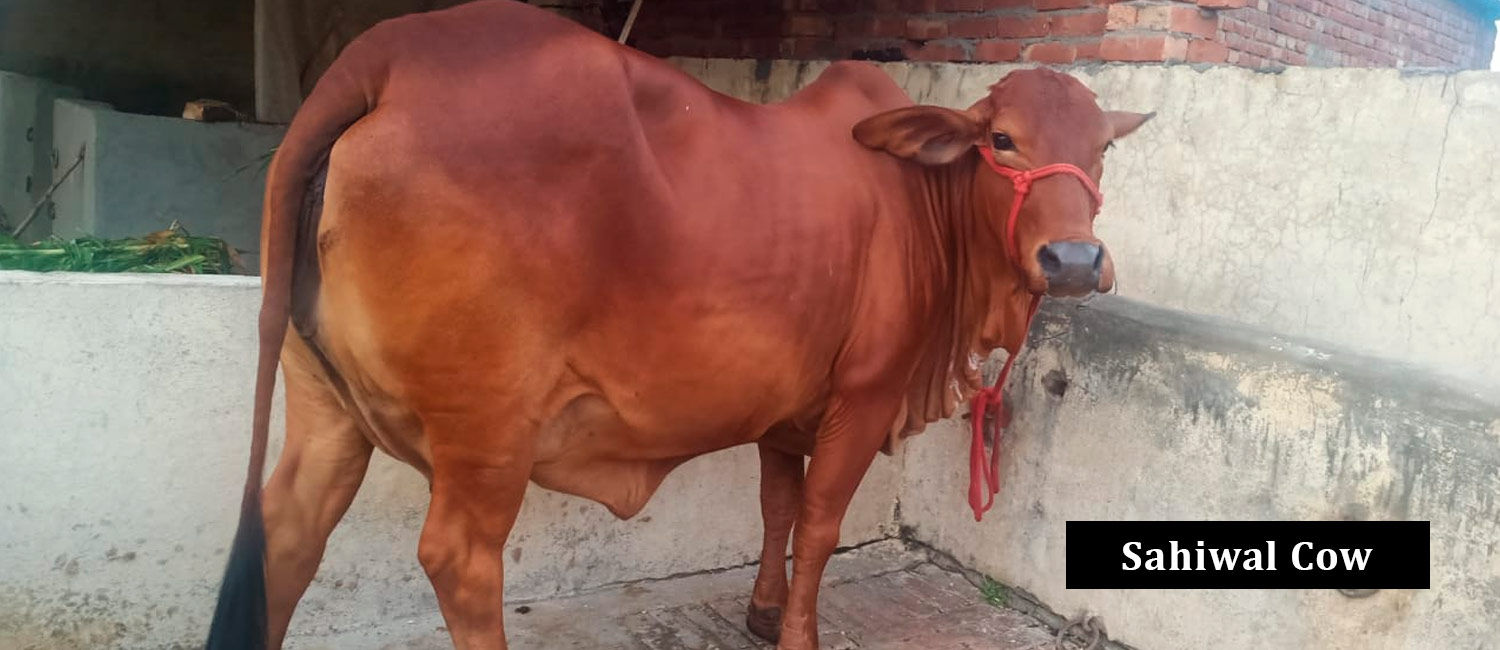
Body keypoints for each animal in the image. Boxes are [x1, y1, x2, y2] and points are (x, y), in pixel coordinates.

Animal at [204, 1, 1151, 648]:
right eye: (1001, 140)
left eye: (1103, 148)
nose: (1074, 260)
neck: (925, 204)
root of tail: (388, 53)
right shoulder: (865, 393)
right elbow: (819, 523)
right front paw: (800, 631)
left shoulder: (787, 406)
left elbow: (777, 506)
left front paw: (765, 613)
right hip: (488, 429)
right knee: (459, 561)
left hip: (321, 404)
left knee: (288, 530)